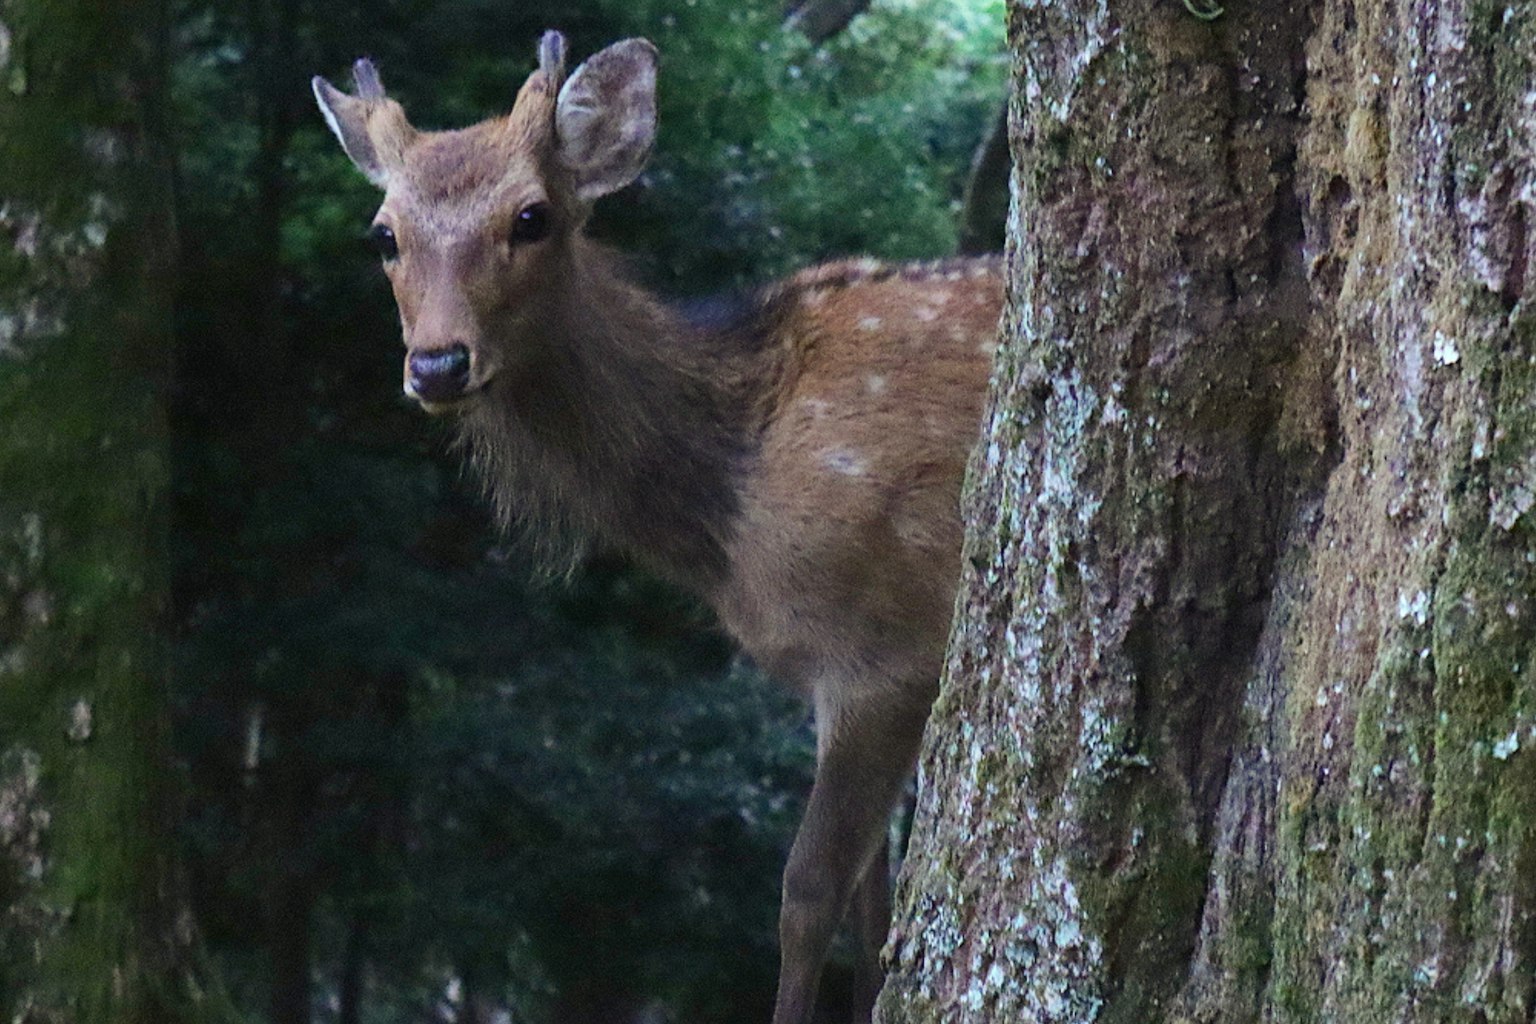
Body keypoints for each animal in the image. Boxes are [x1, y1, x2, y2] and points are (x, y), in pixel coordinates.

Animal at [312, 31, 1002, 1024]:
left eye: (532, 217)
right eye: (383, 234)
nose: (437, 364)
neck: (724, 511)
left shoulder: (889, 651)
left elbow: (806, 895)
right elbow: (875, 907)